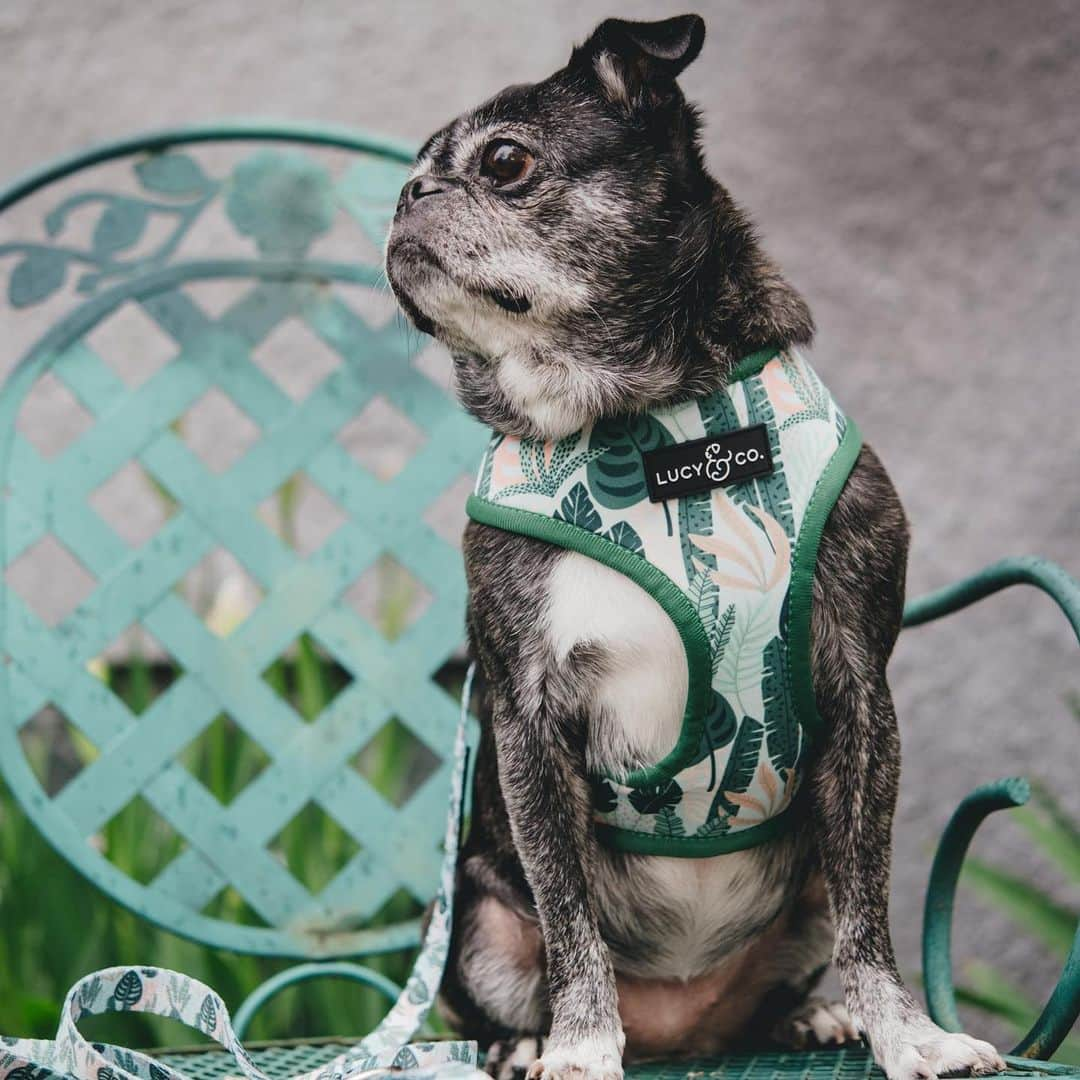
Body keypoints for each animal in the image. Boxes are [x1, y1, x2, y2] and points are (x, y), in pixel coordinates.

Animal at [386, 14, 1002, 1080]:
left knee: (803, 955)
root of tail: (681, 1033)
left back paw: (809, 1018)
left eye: (504, 162)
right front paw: (580, 1050)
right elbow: (570, 921)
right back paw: (528, 1042)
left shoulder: (860, 695)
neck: (646, 426)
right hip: (470, 912)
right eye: (411, 177)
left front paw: (909, 1034)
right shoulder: (527, 725)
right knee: (506, 976)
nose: (407, 196)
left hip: (799, 891)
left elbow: (871, 915)